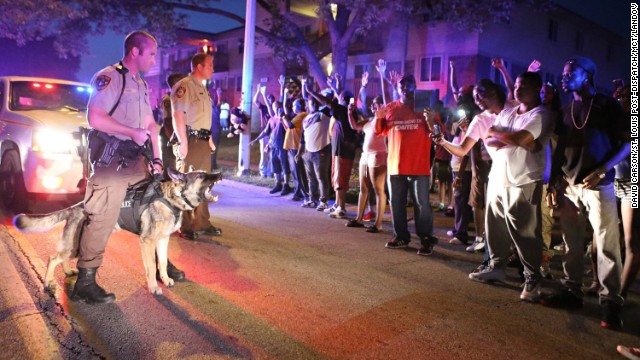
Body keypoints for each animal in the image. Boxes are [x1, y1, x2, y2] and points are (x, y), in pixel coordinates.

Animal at [13, 168, 222, 296]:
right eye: (201, 176)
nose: (219, 173)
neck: (172, 199)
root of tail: (77, 206)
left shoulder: (163, 241)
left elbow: (162, 262)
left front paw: (166, 279)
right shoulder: (148, 242)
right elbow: (151, 266)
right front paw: (154, 287)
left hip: (77, 247)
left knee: (61, 258)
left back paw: (68, 271)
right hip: (77, 246)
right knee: (53, 257)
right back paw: (47, 283)